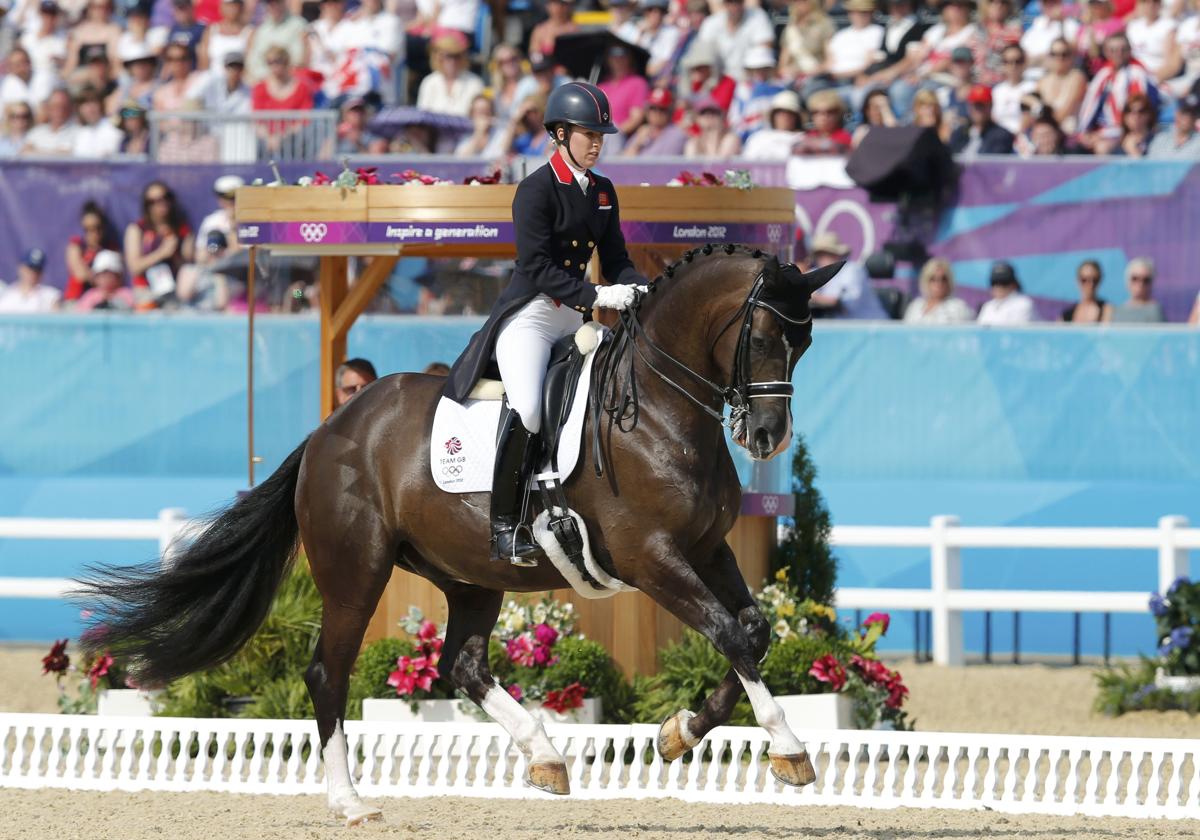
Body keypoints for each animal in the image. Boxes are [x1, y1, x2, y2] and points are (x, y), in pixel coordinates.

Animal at [82, 246, 835, 825]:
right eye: (761, 337)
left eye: (804, 343)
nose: (768, 436)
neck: (657, 410)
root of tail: (333, 427)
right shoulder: (650, 558)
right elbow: (730, 633)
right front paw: (789, 748)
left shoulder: (705, 549)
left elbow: (751, 631)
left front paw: (680, 733)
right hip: (357, 573)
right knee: (329, 672)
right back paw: (351, 802)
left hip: (471, 573)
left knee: (461, 665)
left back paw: (546, 755)